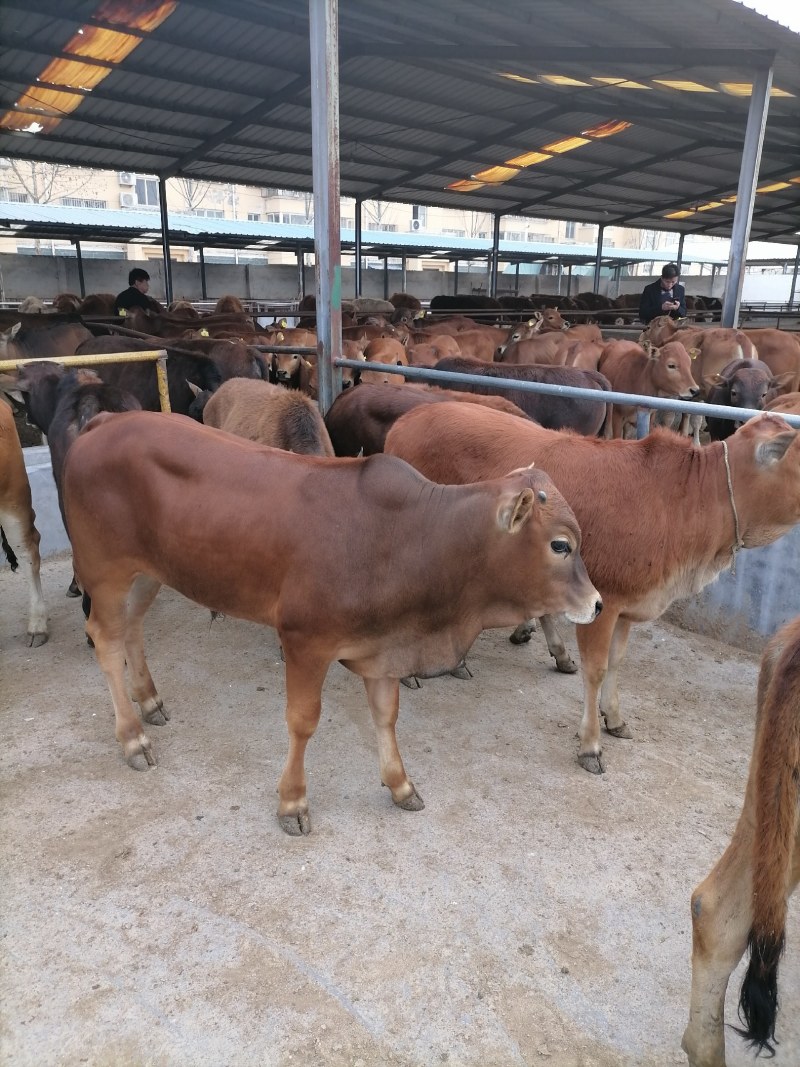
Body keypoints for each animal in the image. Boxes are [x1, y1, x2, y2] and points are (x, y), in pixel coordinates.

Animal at [62, 407, 601, 832]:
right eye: (560, 545)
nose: (597, 603)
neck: (411, 536)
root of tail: (105, 421)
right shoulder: (304, 641)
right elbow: (303, 722)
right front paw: (293, 802)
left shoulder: (383, 649)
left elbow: (386, 715)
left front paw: (401, 785)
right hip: (106, 572)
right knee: (105, 640)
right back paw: (133, 738)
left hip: (147, 574)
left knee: (132, 629)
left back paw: (150, 699)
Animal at [384, 403, 800, 772]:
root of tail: (406, 420)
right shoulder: (604, 601)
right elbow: (596, 670)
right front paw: (590, 745)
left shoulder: (629, 605)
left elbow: (616, 662)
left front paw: (613, 717)